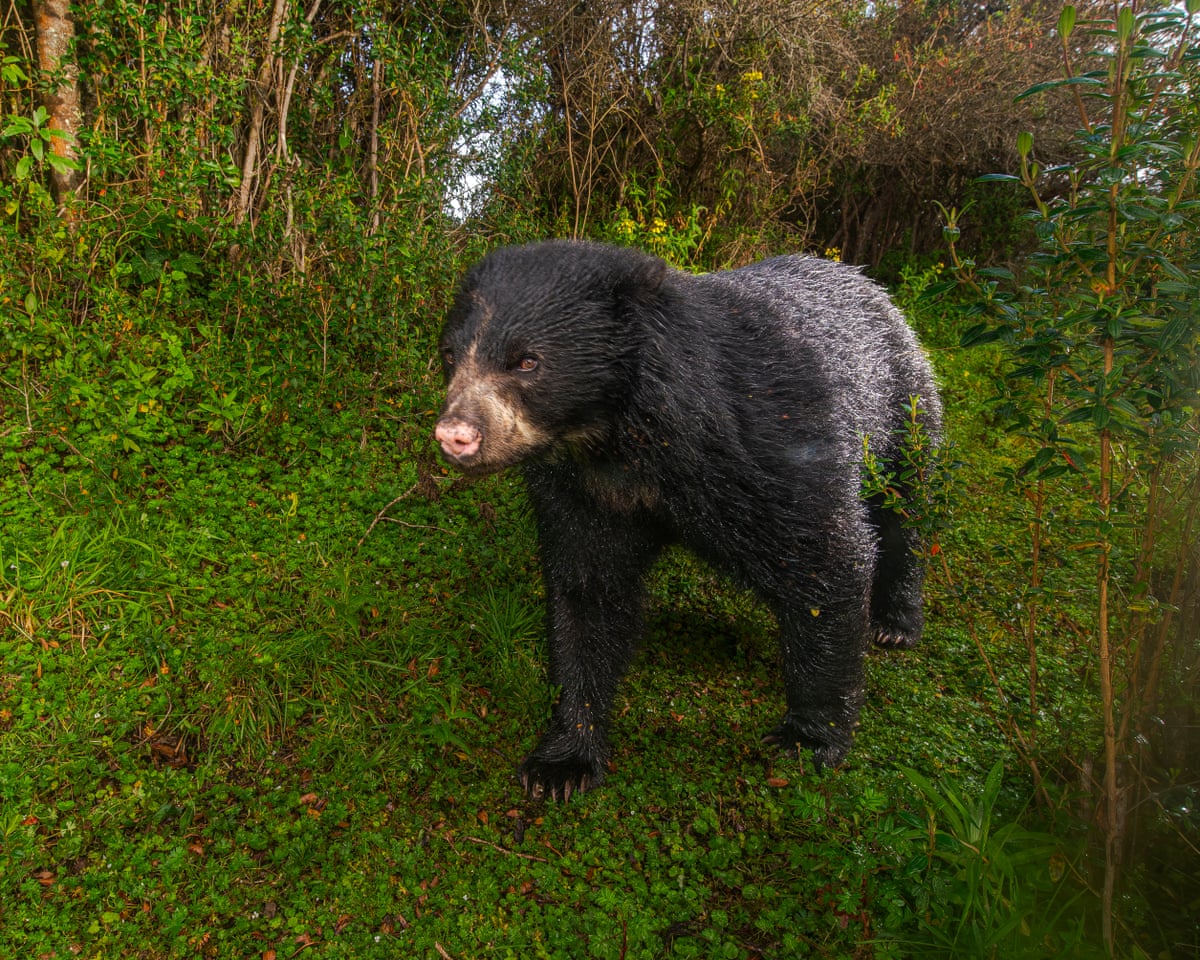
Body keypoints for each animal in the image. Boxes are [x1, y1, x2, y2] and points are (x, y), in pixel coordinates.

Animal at [434, 240, 942, 801]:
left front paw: (807, 739)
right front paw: (562, 762)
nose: (456, 435)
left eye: (527, 360)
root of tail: (873, 287)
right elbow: (587, 593)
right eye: (450, 356)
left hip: (903, 412)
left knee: (904, 513)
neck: (630, 442)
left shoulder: (772, 446)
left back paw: (895, 623)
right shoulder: (582, 491)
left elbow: (825, 562)